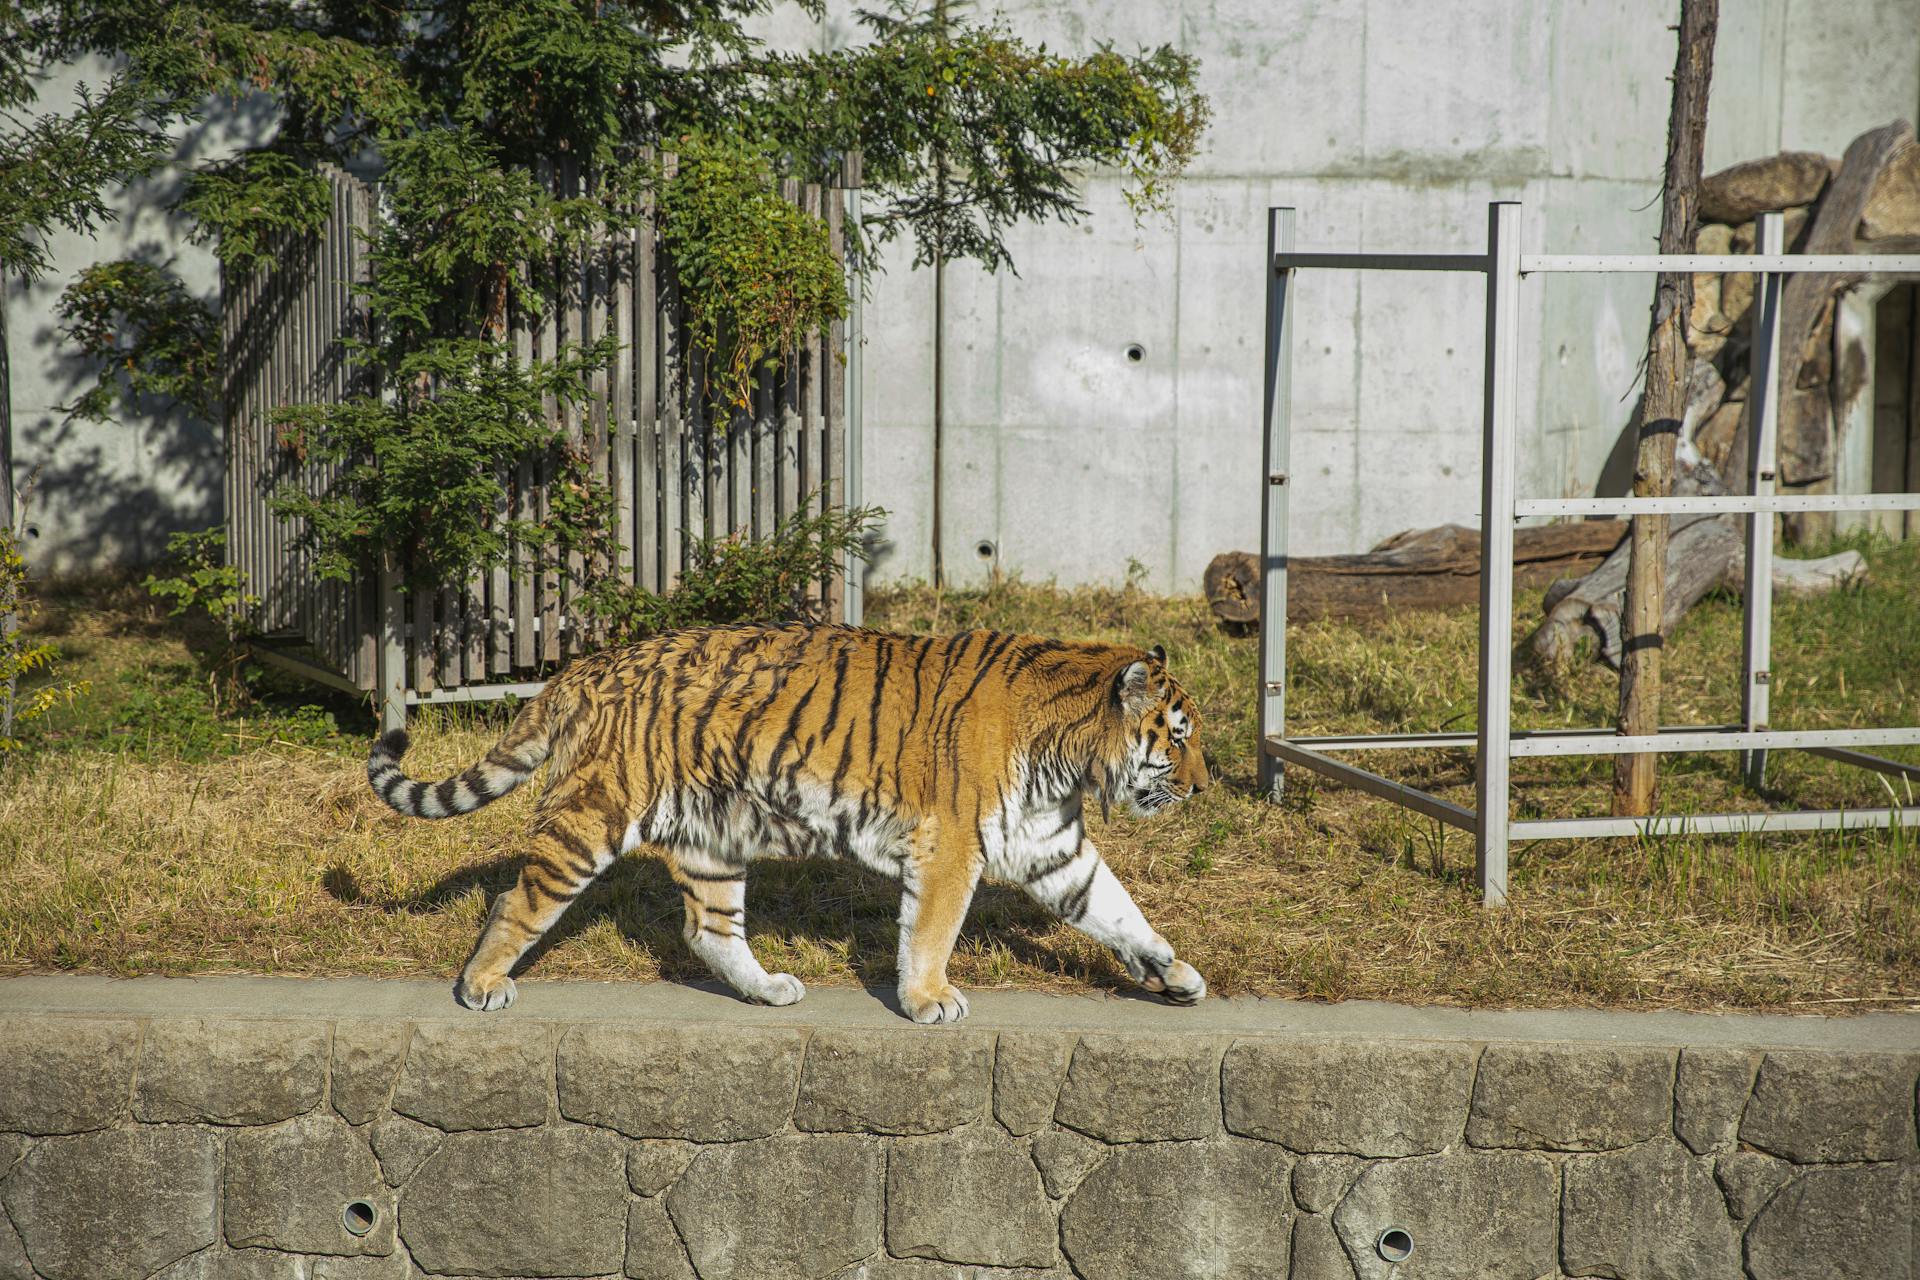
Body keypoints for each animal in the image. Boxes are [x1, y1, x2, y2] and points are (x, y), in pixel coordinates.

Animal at [366, 621, 1205, 1020]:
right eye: (1178, 736)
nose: (1201, 789)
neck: (1068, 756)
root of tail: (586, 666)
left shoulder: (1052, 847)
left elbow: (1117, 910)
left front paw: (1174, 973)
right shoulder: (951, 847)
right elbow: (932, 930)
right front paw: (928, 999)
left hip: (712, 833)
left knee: (707, 929)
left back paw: (768, 989)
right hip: (591, 815)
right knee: (517, 898)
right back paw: (481, 985)